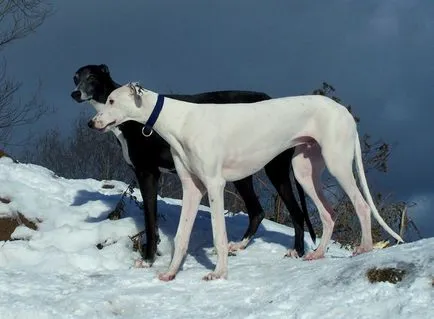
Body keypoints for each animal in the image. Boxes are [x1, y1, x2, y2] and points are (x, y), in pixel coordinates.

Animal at [71, 63, 316, 266]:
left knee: (296, 213)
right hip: (242, 173)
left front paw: (148, 259)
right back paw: (239, 245)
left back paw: (297, 251)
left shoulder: (147, 173)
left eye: (91, 77)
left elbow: (150, 221)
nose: (75, 93)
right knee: (257, 211)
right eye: (75, 78)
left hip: (275, 169)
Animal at [89, 83, 404, 282]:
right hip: (304, 170)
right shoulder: (192, 188)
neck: (180, 119)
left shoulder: (213, 185)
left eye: (112, 100)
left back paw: (364, 248)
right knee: (328, 213)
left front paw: (219, 273)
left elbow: (219, 235)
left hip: (336, 163)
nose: (92, 124)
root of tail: (344, 111)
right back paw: (317, 253)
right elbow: (180, 237)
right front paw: (170, 273)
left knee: (361, 205)